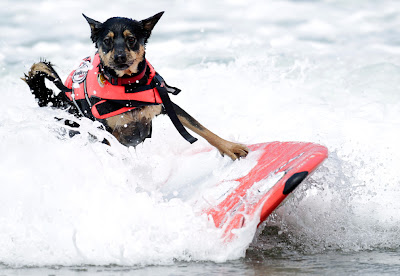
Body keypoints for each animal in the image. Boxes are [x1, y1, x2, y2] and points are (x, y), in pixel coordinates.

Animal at [23, 11, 248, 161]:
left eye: (131, 39)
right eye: (107, 41)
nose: (120, 57)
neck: (129, 85)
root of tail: (58, 101)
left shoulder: (167, 105)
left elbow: (201, 128)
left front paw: (229, 147)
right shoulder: (105, 132)